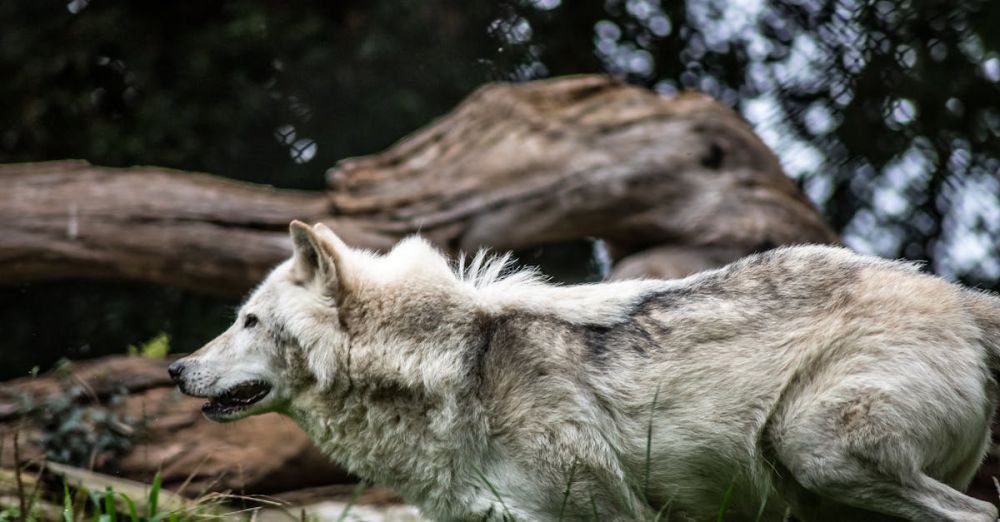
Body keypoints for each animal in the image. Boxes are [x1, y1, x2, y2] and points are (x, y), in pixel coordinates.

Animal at [170, 220, 1000, 520]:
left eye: (248, 321)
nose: (176, 367)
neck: (449, 367)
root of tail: (955, 294)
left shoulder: (609, 513)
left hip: (816, 450)